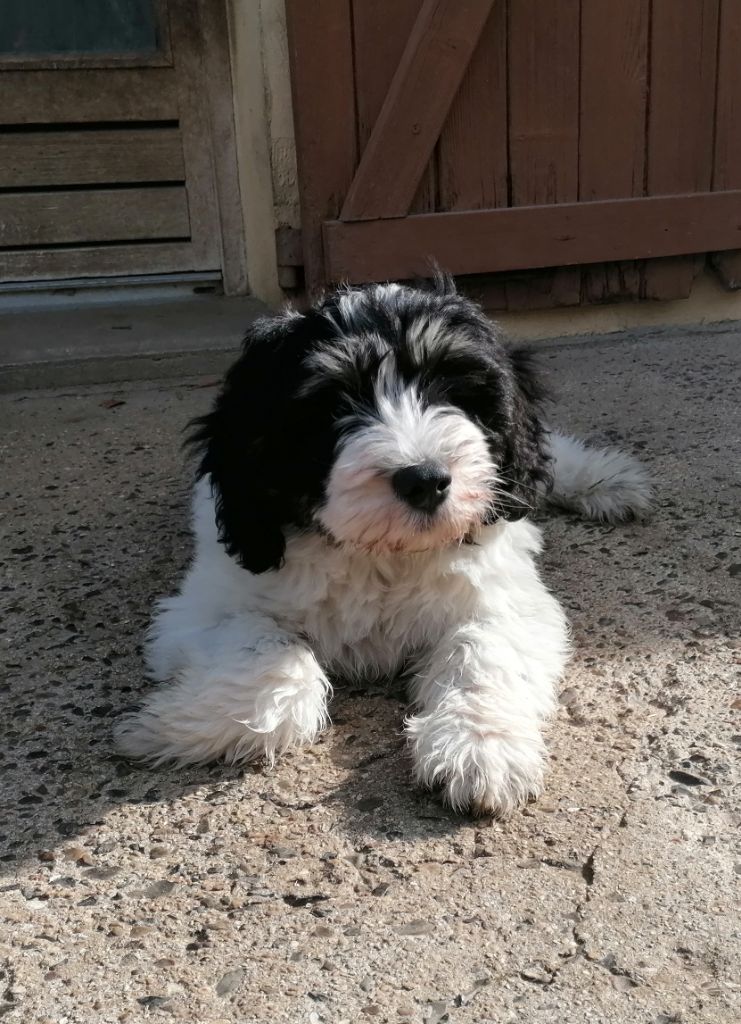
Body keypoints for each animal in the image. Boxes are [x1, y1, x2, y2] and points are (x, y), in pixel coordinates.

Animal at [115, 279, 651, 815]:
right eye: (333, 405)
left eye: (453, 392)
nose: (426, 480)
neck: (383, 552)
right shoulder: (206, 607)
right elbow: (276, 663)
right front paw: (166, 727)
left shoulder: (510, 599)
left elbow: (482, 650)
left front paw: (481, 746)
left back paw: (605, 482)